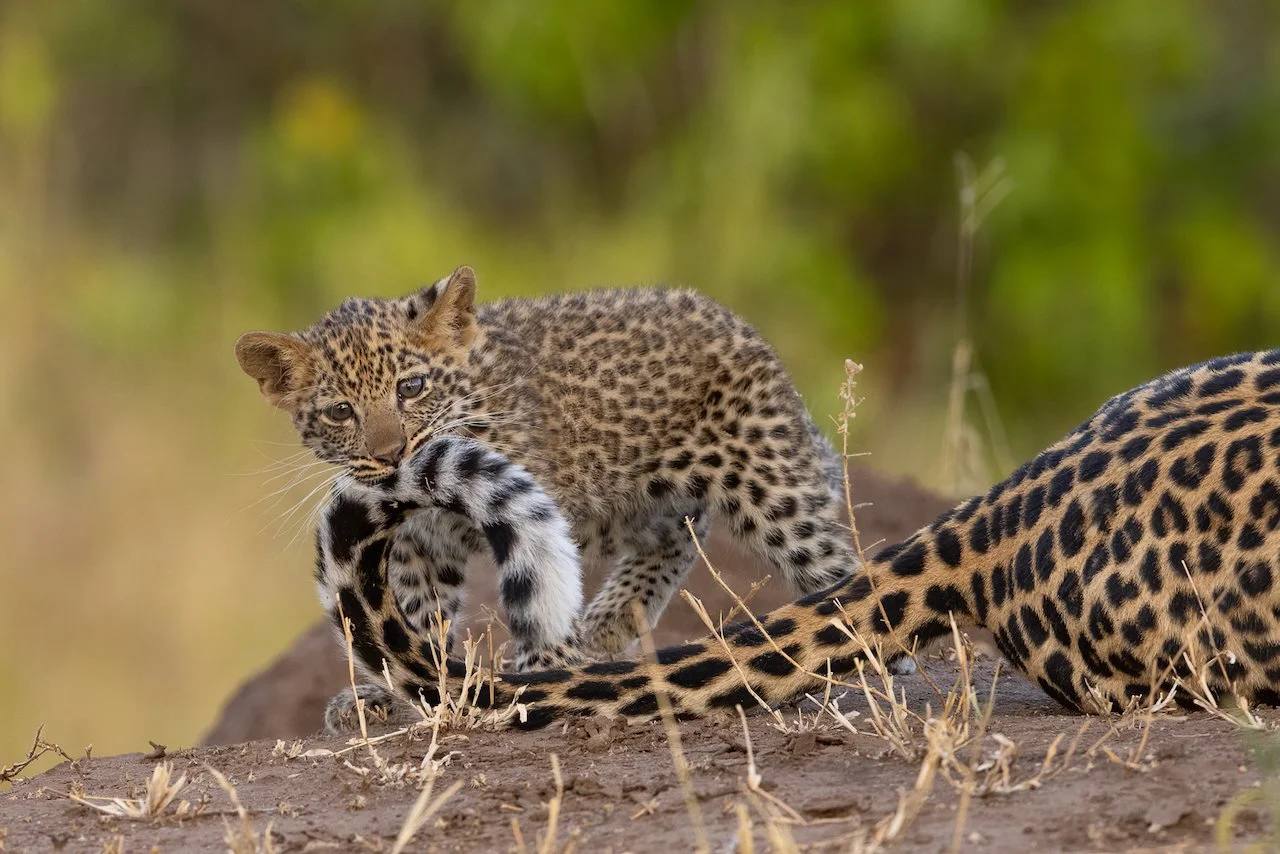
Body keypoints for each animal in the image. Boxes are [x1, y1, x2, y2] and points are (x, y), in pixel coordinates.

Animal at [235, 266, 860, 671]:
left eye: (411, 388)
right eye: (341, 412)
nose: (393, 455)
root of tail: (740, 326)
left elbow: (532, 582)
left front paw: (547, 664)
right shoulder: (418, 543)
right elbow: (418, 611)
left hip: (767, 485)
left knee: (829, 559)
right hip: (634, 495)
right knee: (681, 529)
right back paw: (609, 620)